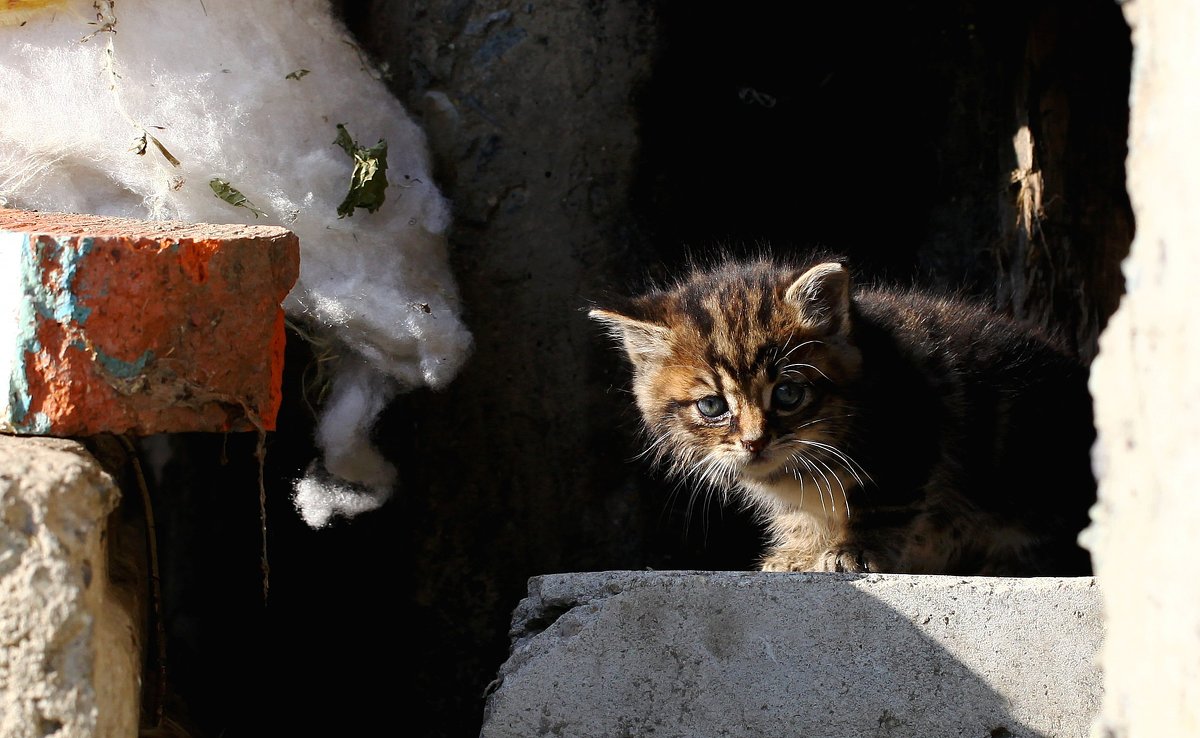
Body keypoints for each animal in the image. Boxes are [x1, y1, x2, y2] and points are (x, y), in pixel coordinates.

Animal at [590, 255, 1099, 578]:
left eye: (788, 394)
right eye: (712, 406)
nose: (755, 441)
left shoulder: (910, 429)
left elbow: (883, 502)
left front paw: (855, 550)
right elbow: (800, 515)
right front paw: (798, 551)